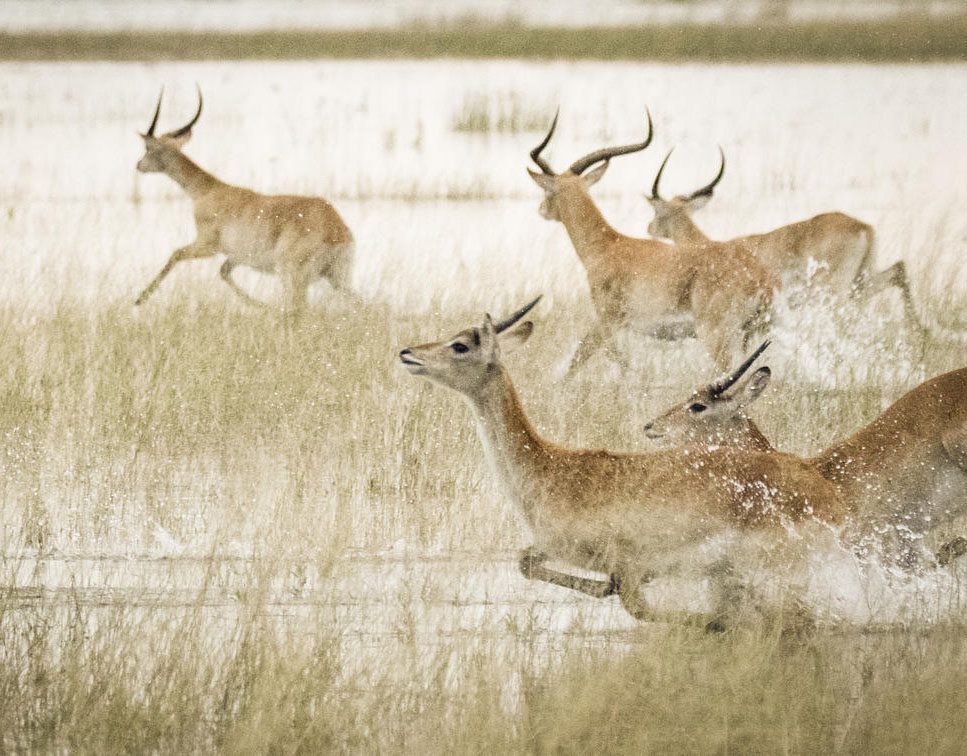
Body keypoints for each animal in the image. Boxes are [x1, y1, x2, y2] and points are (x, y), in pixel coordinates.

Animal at [134, 87, 355, 316]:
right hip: (338, 278)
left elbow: (176, 254)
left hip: (292, 275)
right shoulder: (235, 256)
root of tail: (336, 230)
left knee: (299, 309)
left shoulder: (208, 245)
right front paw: (264, 306)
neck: (207, 190)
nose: (138, 164)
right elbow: (223, 272)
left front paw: (140, 299)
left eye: (147, 147)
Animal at [399, 297, 845, 629]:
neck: (548, 468)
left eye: (461, 344)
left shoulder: (629, 563)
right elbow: (526, 562)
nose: (407, 352)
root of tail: (823, 487)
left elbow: (641, 606)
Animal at [526, 112, 779, 376]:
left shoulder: (607, 319)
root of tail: (761, 280)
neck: (608, 246)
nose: (542, 209)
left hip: (715, 335)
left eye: (548, 192)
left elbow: (607, 358)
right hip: (749, 334)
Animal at [644, 148, 928, 335]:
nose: (649, 227)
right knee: (899, 270)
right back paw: (919, 331)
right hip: (860, 282)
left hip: (834, 290)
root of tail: (863, 226)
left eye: (658, 212)